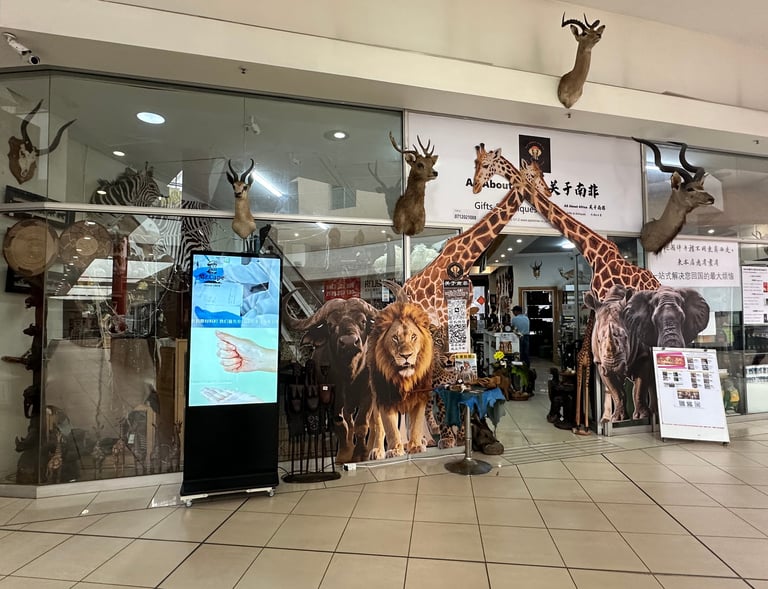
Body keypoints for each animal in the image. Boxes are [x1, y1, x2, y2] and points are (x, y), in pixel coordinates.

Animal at [367, 300, 434, 457]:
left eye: (414, 336)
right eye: (395, 338)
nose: (406, 355)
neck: (404, 379)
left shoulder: (419, 397)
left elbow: (416, 424)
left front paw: (415, 446)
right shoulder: (385, 398)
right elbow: (390, 427)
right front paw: (395, 450)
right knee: (379, 427)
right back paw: (377, 450)